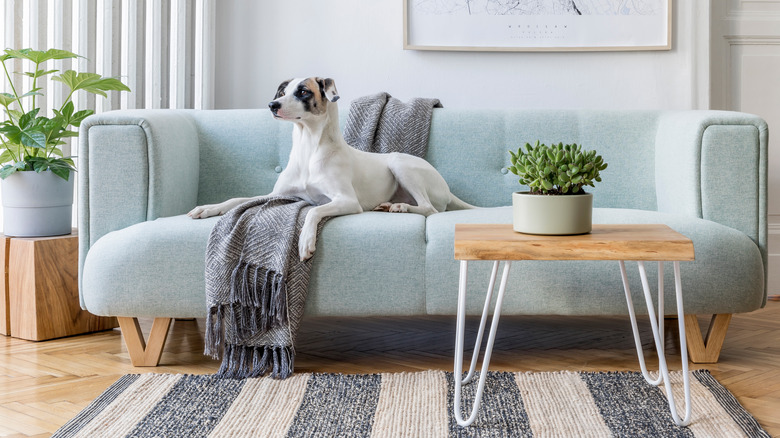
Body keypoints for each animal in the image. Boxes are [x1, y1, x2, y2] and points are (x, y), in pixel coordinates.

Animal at [187, 77, 472, 260]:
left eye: (303, 91)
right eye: (283, 91)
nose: (272, 105)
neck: (309, 148)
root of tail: (447, 189)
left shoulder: (346, 201)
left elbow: (313, 211)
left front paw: (305, 241)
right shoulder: (277, 195)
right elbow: (237, 199)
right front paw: (208, 208)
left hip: (399, 163)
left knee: (429, 208)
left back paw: (400, 207)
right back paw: (391, 204)